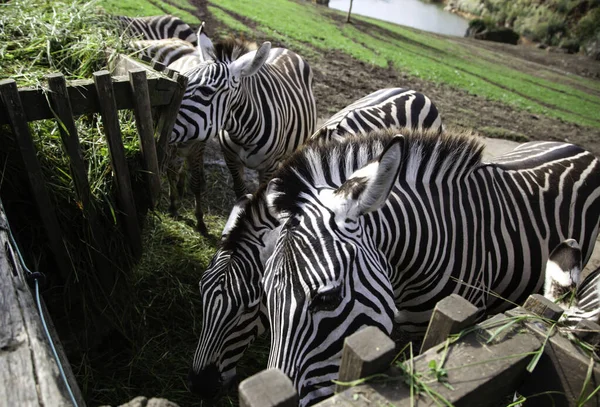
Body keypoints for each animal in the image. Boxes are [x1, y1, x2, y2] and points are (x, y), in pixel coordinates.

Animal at [169, 24, 316, 236]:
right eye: (184, 78)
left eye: (205, 91)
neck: (244, 132)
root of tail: (287, 50)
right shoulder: (231, 158)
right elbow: (240, 193)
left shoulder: (268, 167)